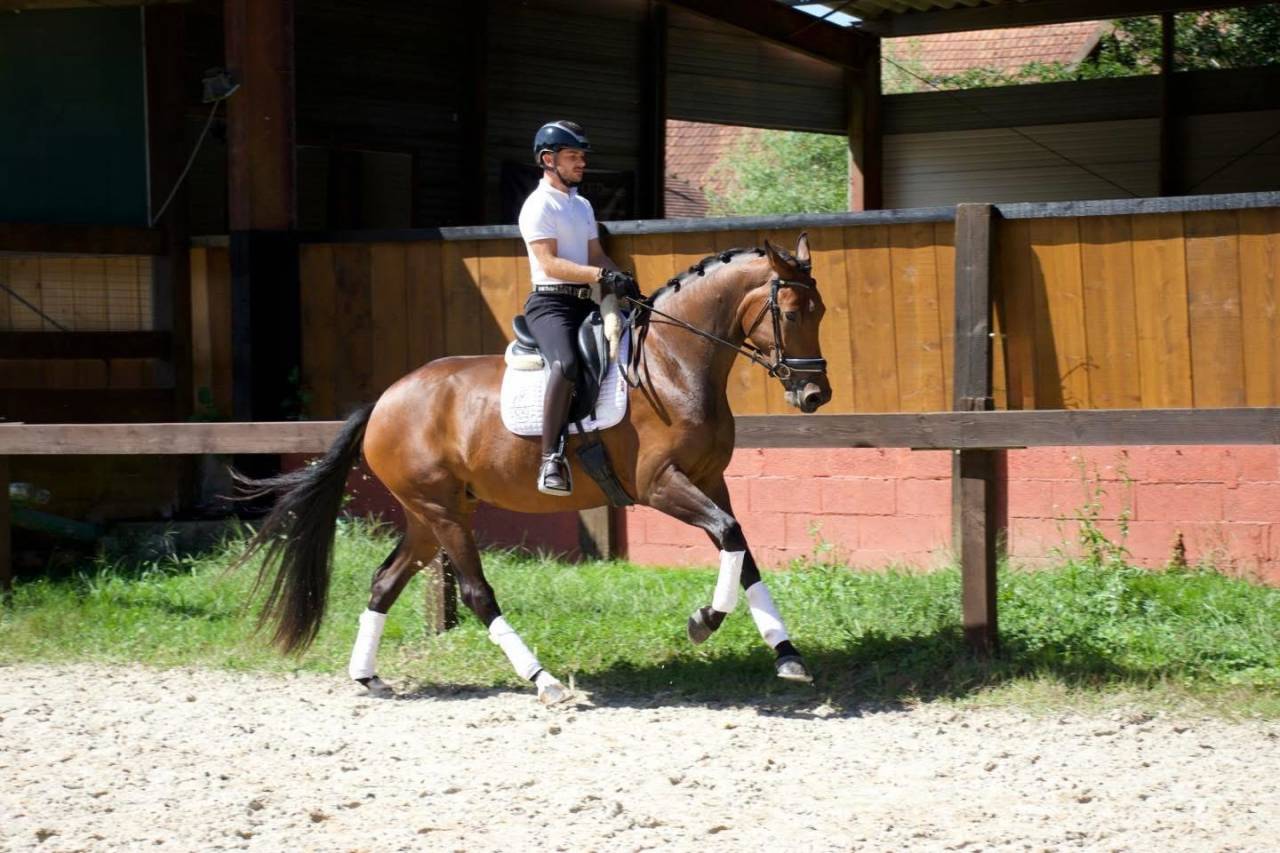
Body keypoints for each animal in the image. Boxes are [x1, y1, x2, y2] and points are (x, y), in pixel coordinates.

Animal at [233, 233, 833, 704]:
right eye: (792, 314)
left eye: (821, 313)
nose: (815, 395)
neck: (673, 362)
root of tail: (384, 400)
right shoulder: (661, 485)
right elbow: (730, 538)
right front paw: (703, 622)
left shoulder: (711, 480)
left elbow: (742, 551)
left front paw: (787, 655)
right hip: (444, 513)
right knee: (476, 593)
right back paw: (542, 680)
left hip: (429, 516)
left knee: (384, 582)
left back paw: (366, 676)